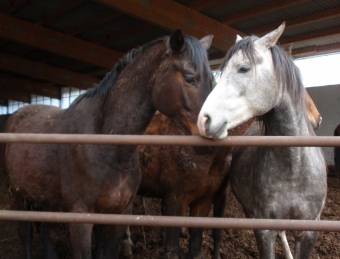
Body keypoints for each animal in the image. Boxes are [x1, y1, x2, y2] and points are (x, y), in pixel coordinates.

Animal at [3, 30, 212, 259]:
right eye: (190, 78)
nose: (214, 129)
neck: (108, 148)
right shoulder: (81, 220)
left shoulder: (117, 216)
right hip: (17, 195)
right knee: (25, 233)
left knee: (44, 229)